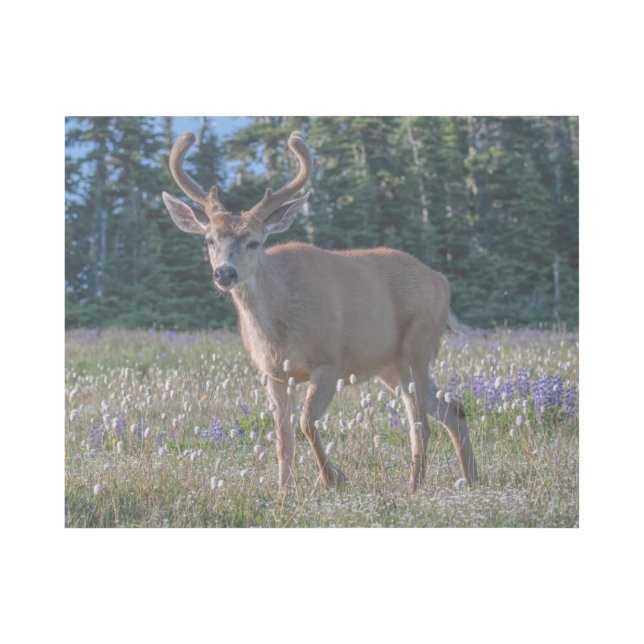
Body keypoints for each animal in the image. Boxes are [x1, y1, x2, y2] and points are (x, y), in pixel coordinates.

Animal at [162, 130, 478, 493]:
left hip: (417, 346)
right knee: (453, 408)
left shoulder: (329, 363)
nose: (225, 273)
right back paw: (471, 478)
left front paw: (333, 477)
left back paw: (415, 487)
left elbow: (305, 423)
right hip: (390, 366)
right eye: (209, 240)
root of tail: (443, 282)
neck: (278, 325)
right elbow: (283, 438)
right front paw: (284, 490)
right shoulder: (273, 373)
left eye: (254, 241)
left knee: (420, 424)